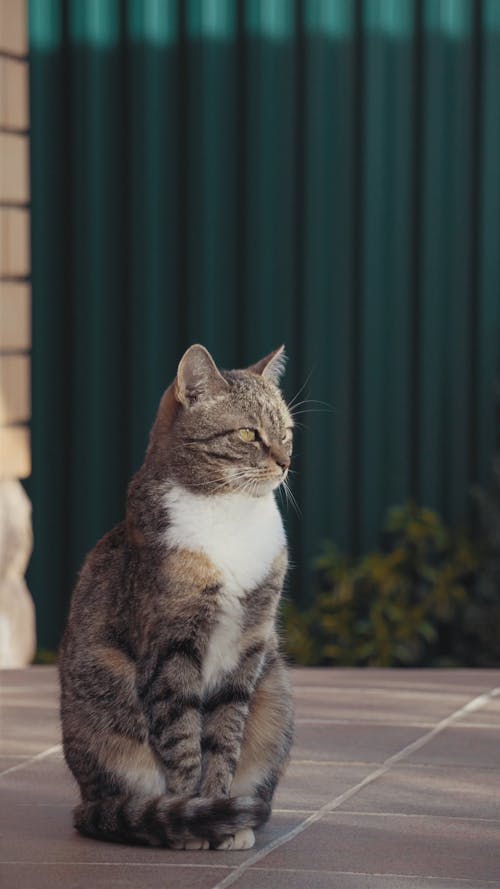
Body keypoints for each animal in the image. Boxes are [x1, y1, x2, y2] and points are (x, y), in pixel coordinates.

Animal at [59, 342, 294, 848]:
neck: (230, 513)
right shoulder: (171, 644)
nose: (286, 462)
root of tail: (84, 802)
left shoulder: (250, 647)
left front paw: (220, 815)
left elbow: (225, 737)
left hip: (275, 690)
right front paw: (191, 817)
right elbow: (182, 739)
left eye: (286, 432)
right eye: (248, 433)